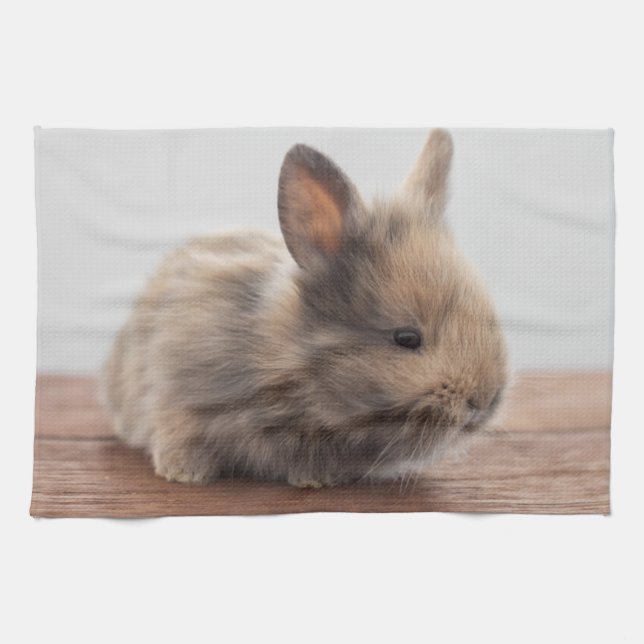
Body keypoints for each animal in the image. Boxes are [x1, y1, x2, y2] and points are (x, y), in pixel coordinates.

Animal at [101, 129, 508, 488]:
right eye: (406, 338)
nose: (483, 401)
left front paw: (317, 479)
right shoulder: (176, 390)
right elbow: (179, 430)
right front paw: (183, 473)